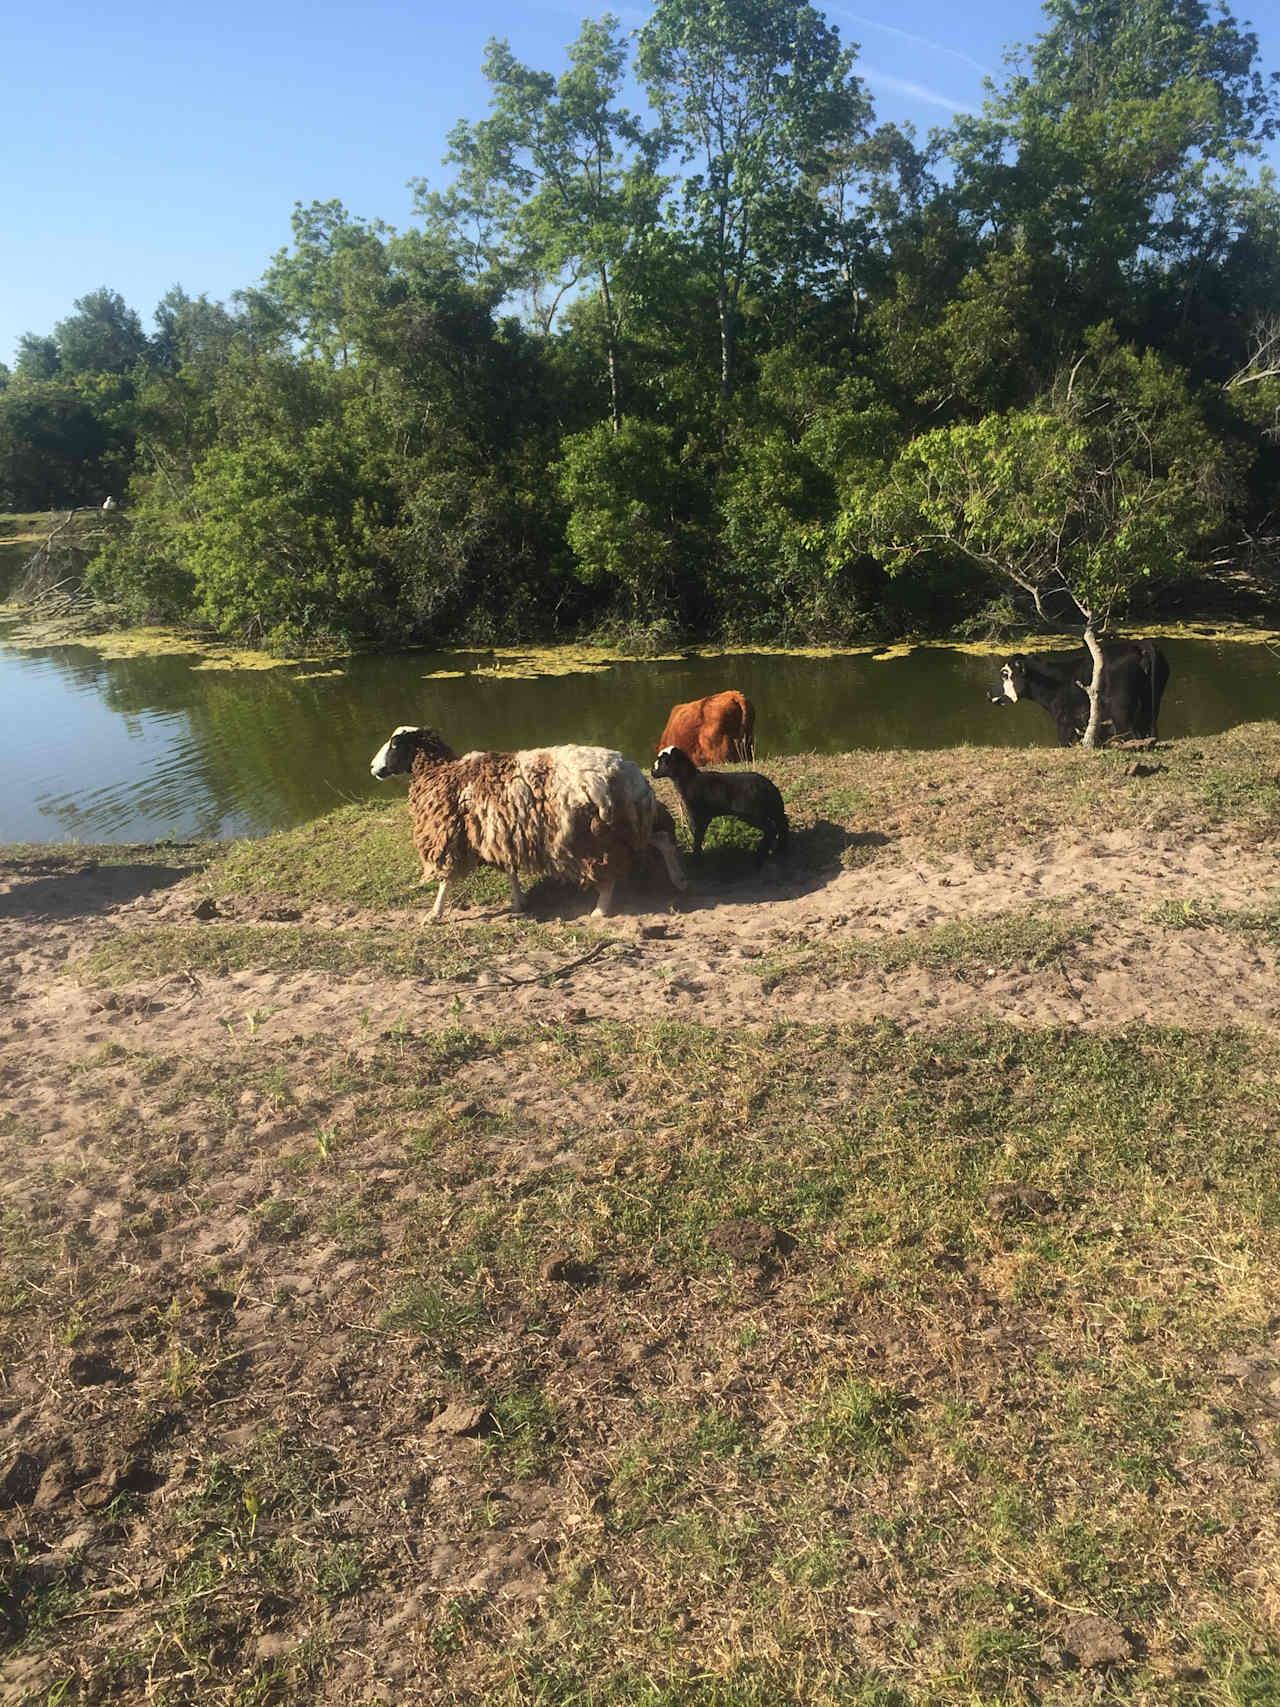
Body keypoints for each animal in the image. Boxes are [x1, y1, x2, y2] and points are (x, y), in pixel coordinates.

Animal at [370, 730, 686, 928]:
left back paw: (600, 910)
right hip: (626, 825)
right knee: (660, 839)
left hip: (595, 836)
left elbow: (445, 881)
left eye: (395, 743)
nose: (374, 768)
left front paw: (434, 915)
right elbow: (511, 870)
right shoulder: (499, 831)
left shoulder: (451, 835)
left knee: (608, 875)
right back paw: (678, 880)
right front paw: (519, 902)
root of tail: (636, 780)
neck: (440, 772)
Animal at [996, 641, 1181, 747]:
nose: (991, 694)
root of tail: (1141, 646)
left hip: (1121, 712)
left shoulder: (1064, 723)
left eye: (1005, 674)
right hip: (1150, 705)